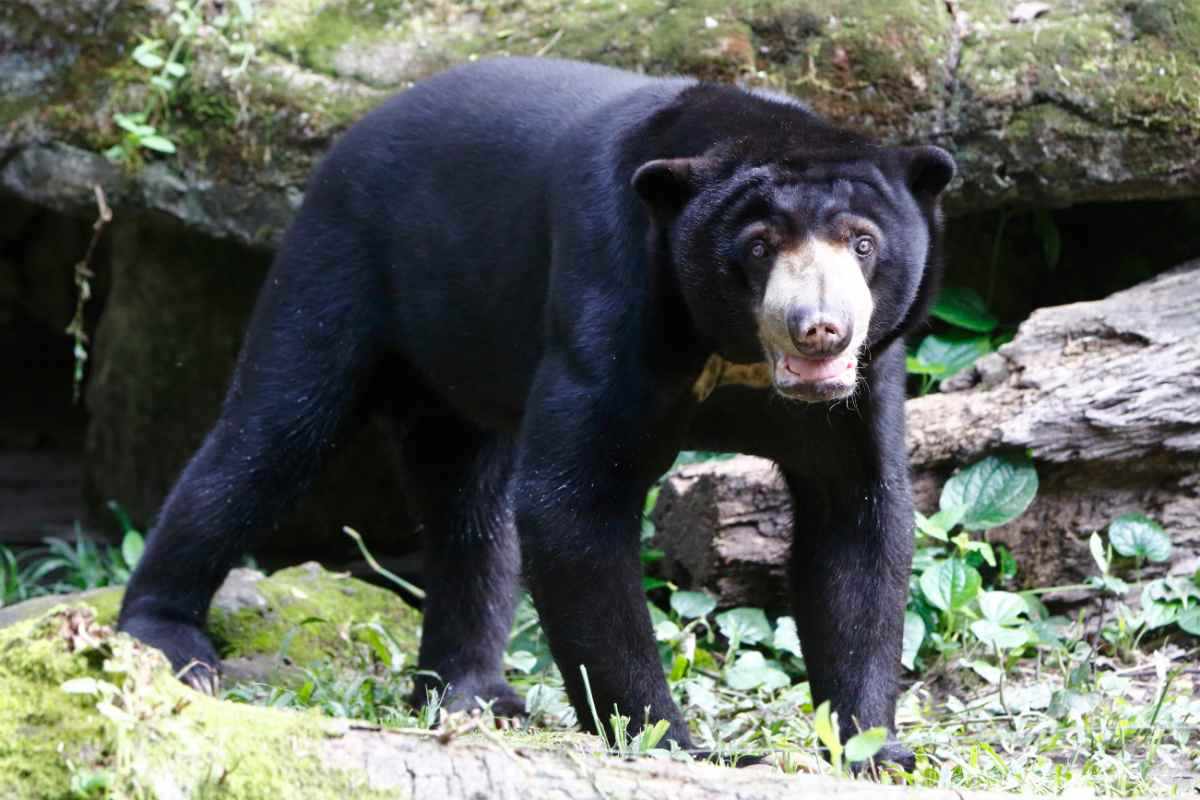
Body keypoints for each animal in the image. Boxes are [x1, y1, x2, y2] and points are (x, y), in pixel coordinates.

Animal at [117, 56, 954, 770]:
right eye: (757, 245)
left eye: (862, 241)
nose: (820, 328)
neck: (730, 352)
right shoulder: (611, 300)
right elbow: (570, 503)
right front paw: (673, 740)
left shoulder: (862, 387)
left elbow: (857, 519)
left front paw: (875, 750)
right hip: (338, 264)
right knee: (269, 439)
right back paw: (169, 643)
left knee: (467, 509)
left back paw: (472, 692)